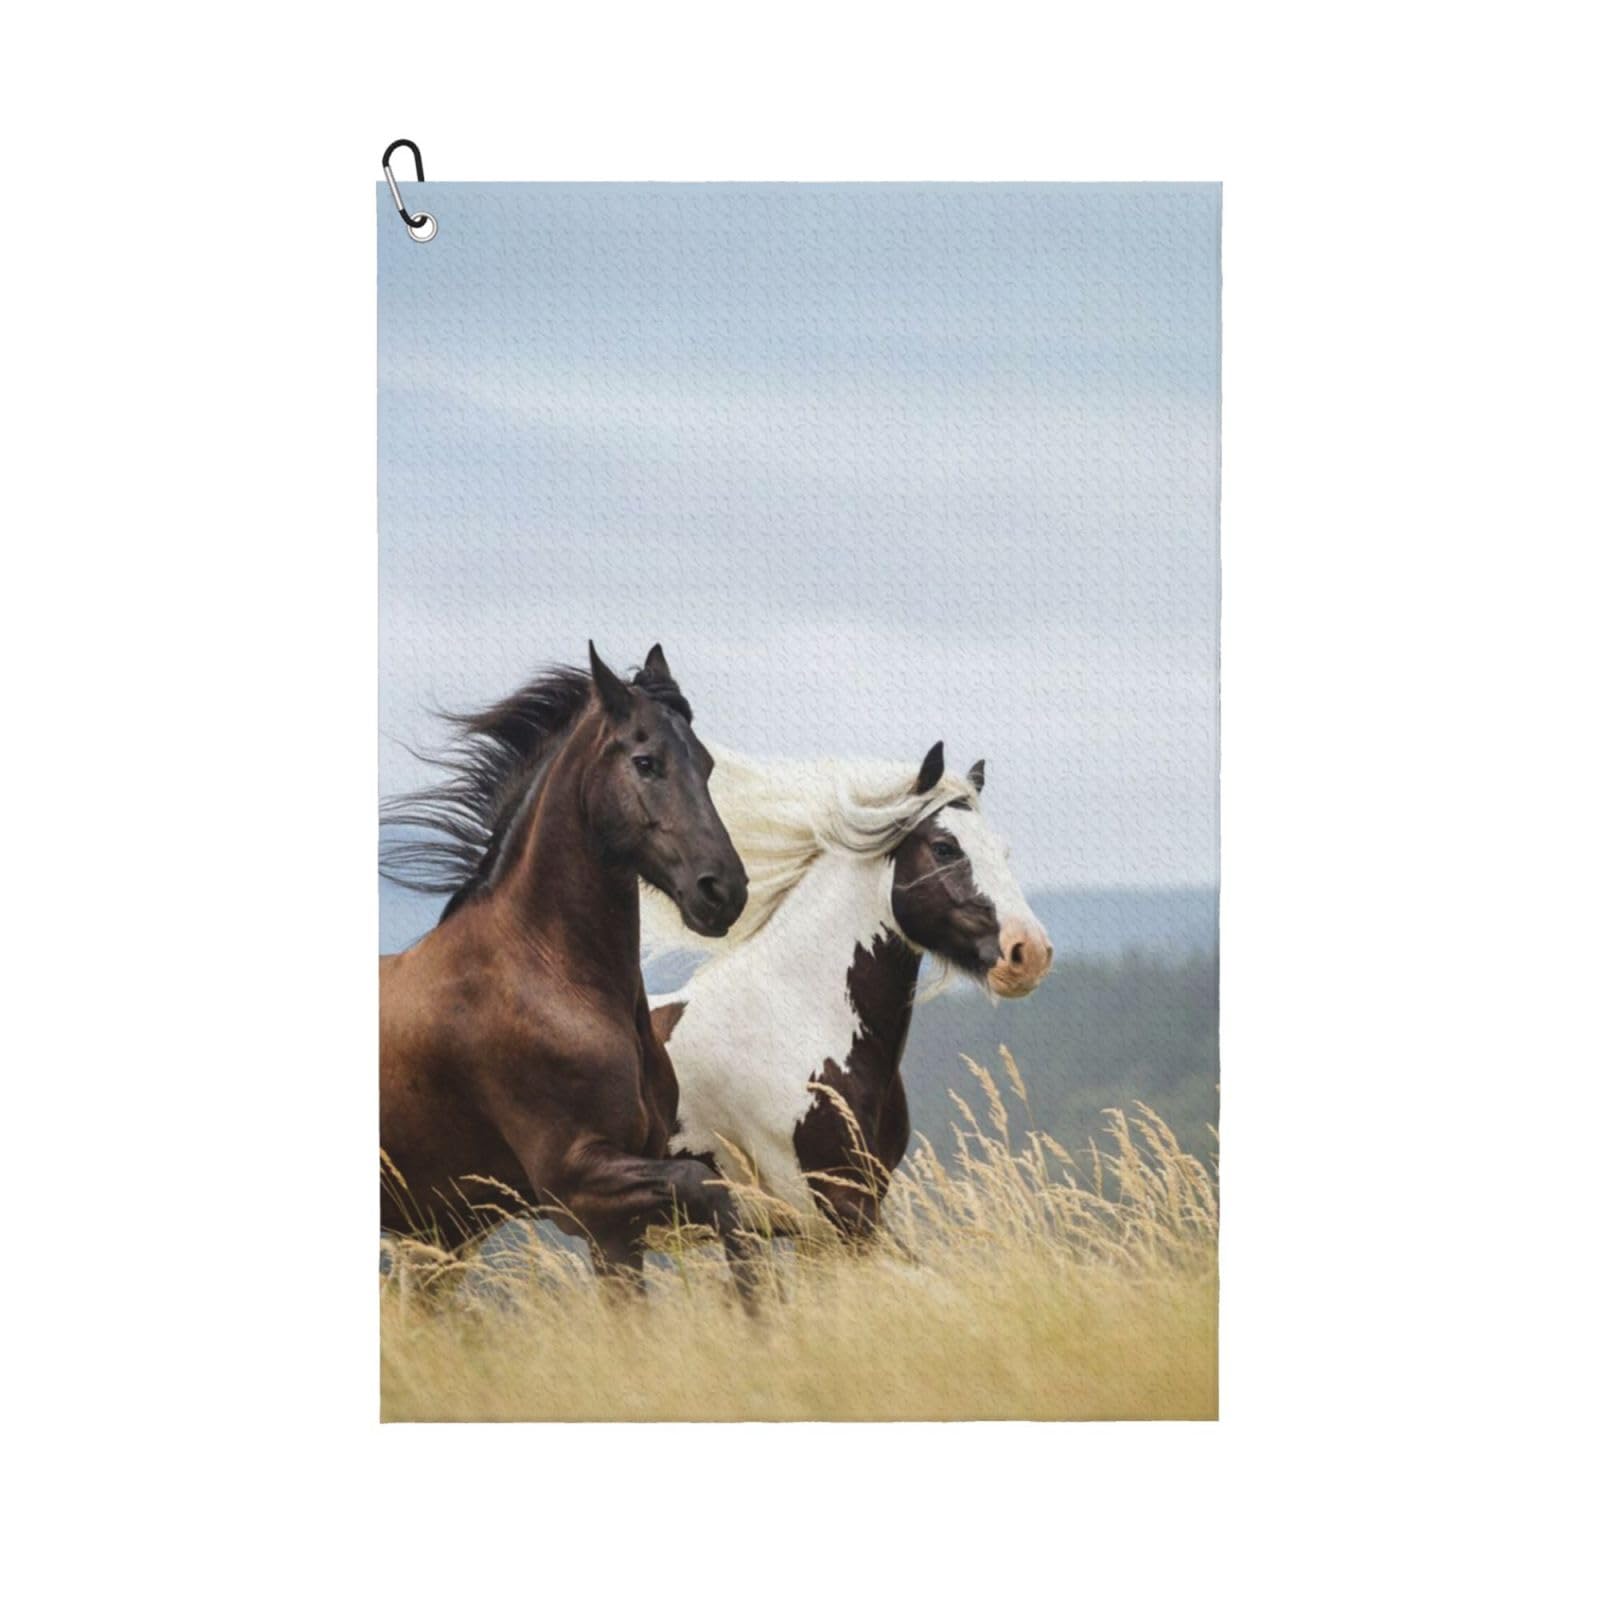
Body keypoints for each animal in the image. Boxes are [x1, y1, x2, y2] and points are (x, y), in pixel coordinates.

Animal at [379, 642, 755, 1290]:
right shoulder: (580, 1188)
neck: (547, 972)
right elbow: (711, 1189)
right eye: (647, 762)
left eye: (705, 765)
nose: (723, 891)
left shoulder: (620, 1225)